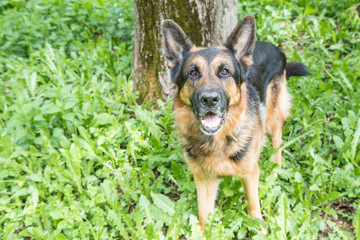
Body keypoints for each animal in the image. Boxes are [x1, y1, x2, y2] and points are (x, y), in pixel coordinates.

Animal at [162, 14, 308, 233]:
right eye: (192, 73)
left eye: (225, 71)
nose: (209, 99)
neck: (217, 140)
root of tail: (274, 47)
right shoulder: (204, 181)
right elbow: (203, 215)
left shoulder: (250, 174)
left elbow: (253, 205)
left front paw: (260, 230)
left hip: (271, 113)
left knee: (277, 134)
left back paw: (276, 166)